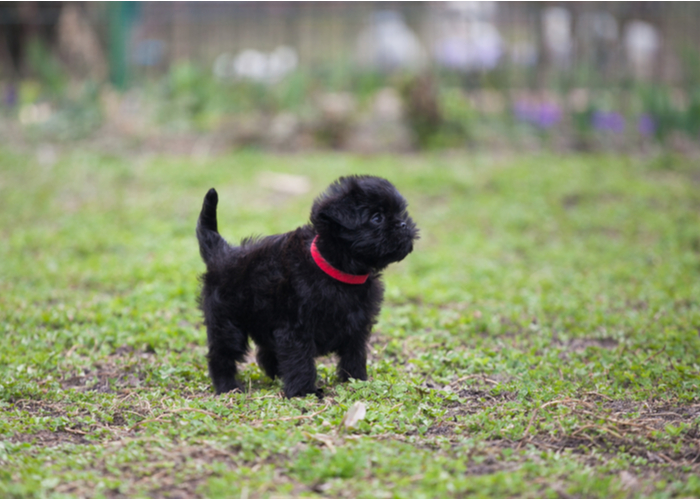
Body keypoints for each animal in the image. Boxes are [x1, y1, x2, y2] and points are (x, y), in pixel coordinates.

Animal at [196, 176, 416, 398]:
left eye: (400, 213)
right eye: (377, 218)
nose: (404, 224)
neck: (337, 270)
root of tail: (221, 251)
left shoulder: (357, 325)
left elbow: (354, 354)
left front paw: (356, 381)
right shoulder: (296, 329)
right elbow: (300, 361)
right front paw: (304, 392)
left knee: (266, 353)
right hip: (227, 323)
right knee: (222, 355)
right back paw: (227, 386)